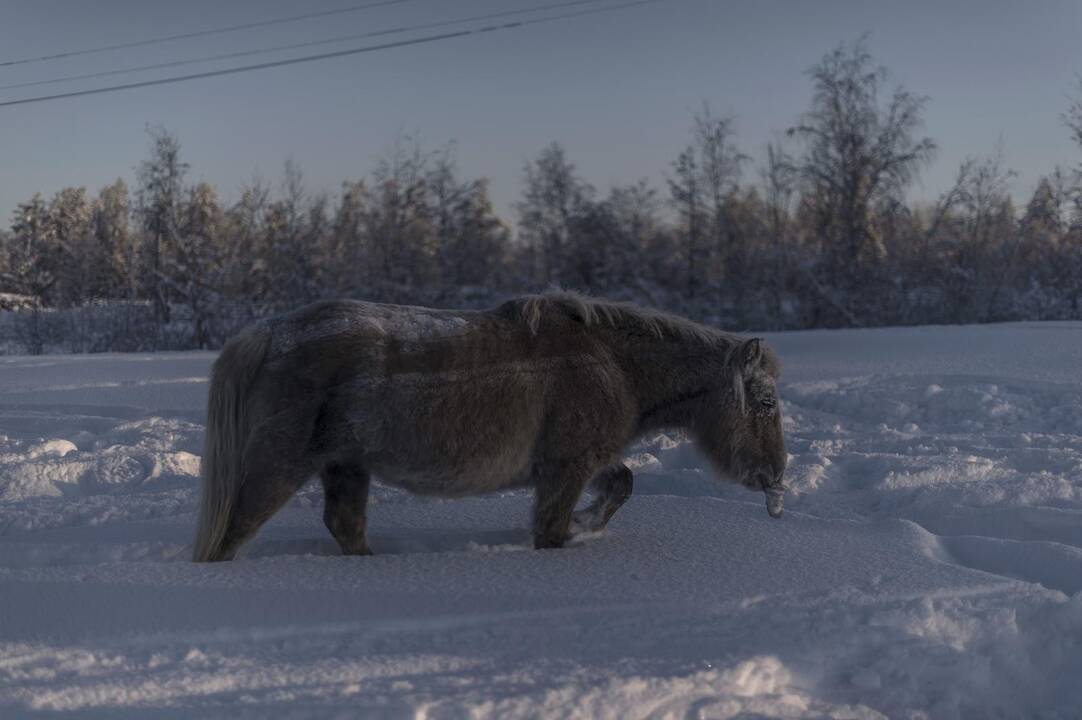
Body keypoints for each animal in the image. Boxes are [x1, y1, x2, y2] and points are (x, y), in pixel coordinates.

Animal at [192, 292, 787, 563]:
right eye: (763, 401)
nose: (776, 475)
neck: (613, 364)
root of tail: (269, 332)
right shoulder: (564, 468)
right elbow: (552, 531)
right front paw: (579, 530)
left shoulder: (583, 461)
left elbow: (622, 483)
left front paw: (590, 523)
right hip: (280, 465)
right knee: (233, 531)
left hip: (346, 466)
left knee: (345, 527)